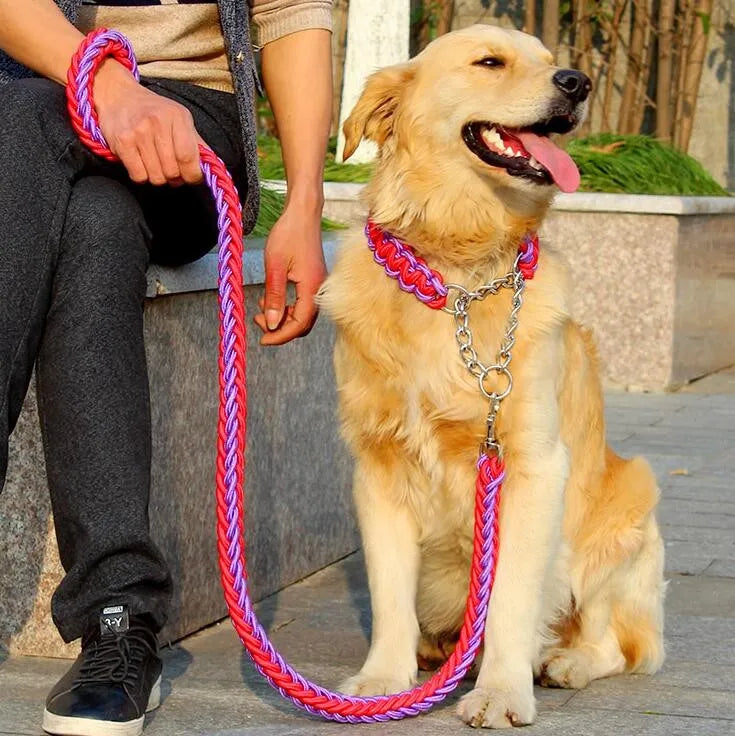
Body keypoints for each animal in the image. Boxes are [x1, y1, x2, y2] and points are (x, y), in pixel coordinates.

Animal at [320, 24, 664, 732]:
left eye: (551, 61)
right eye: (489, 62)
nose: (577, 82)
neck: (457, 273)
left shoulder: (532, 465)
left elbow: (508, 597)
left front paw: (502, 691)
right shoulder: (379, 465)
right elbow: (389, 596)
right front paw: (383, 681)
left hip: (626, 513)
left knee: (616, 644)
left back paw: (563, 662)